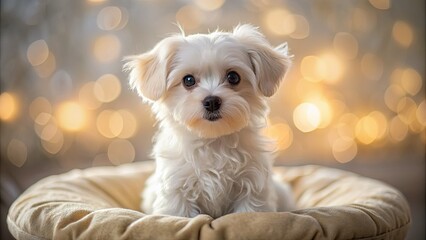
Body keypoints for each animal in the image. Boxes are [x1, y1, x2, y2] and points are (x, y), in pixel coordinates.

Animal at [125, 24, 294, 219]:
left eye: (233, 77)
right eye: (188, 80)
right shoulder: (176, 189)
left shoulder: (253, 186)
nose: (212, 101)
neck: (213, 141)